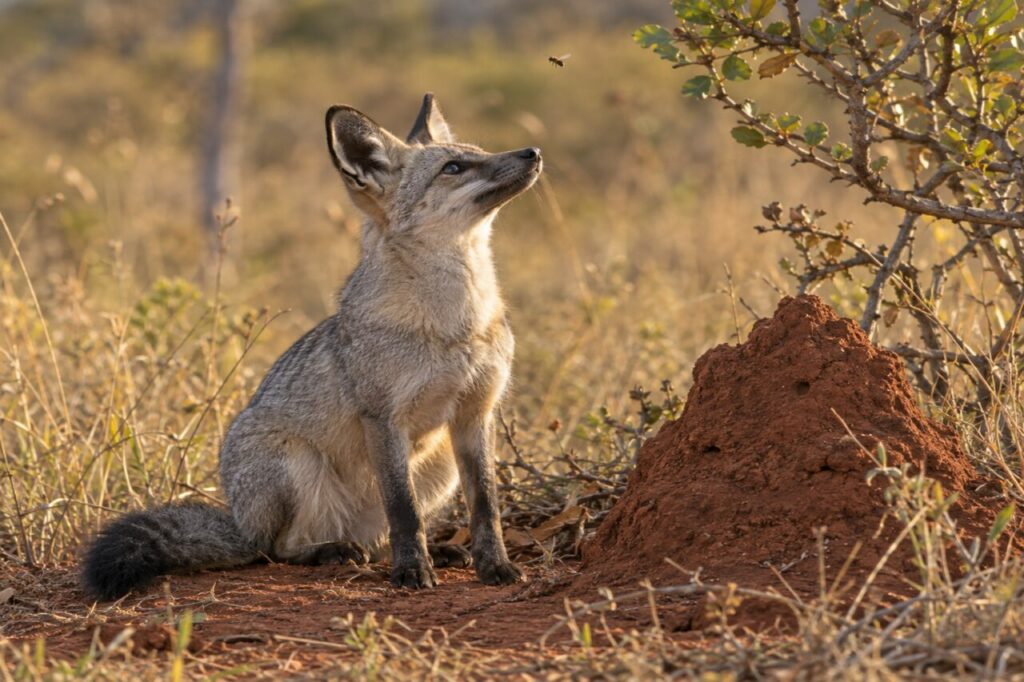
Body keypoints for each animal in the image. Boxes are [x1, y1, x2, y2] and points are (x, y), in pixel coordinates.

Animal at [81, 93, 542, 599]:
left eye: (479, 151)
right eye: (453, 167)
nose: (532, 152)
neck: (454, 323)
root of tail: (241, 523)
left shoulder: (475, 413)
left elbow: (486, 508)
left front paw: (494, 565)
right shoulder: (383, 417)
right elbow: (404, 511)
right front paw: (411, 571)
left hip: (438, 468)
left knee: (374, 539)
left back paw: (415, 550)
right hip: (297, 462)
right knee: (279, 549)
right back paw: (332, 551)